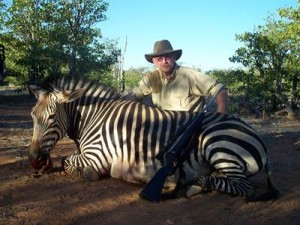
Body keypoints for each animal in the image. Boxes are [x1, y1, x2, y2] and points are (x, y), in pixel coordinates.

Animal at [28, 76, 278, 201]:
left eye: (52, 117)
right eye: (32, 115)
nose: (33, 159)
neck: (93, 118)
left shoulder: (97, 157)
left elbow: (68, 162)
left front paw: (84, 173)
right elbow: (65, 160)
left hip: (216, 145)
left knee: (244, 188)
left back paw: (188, 186)